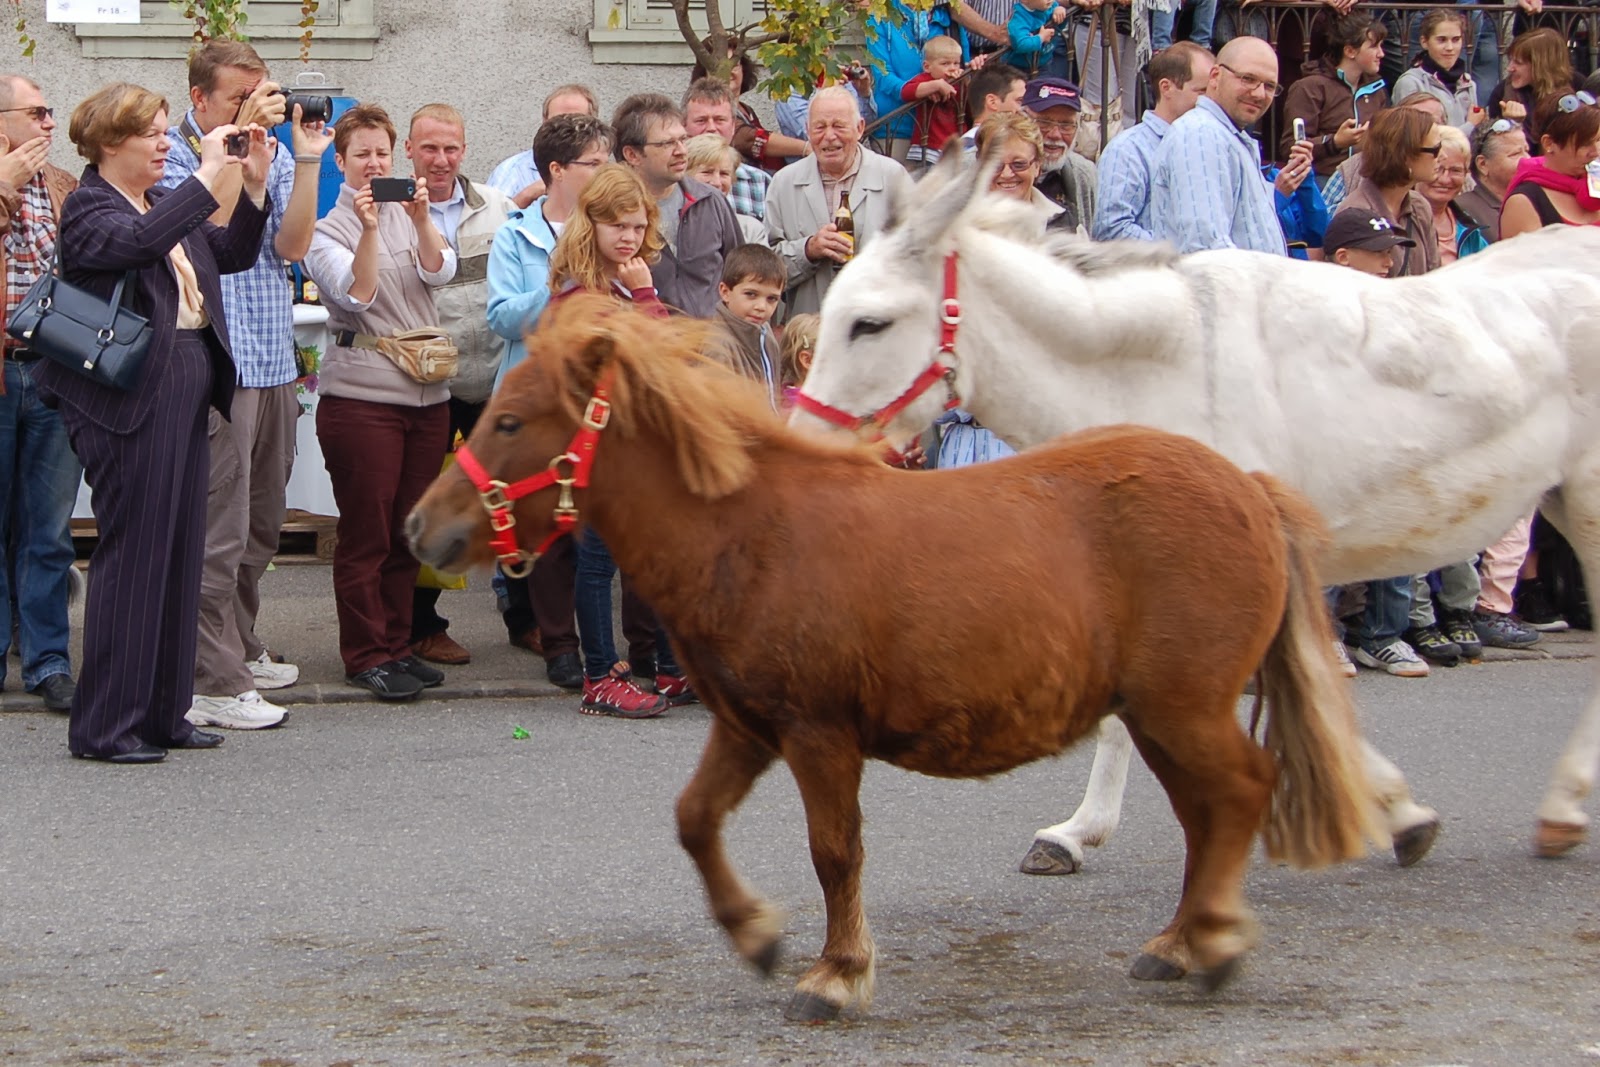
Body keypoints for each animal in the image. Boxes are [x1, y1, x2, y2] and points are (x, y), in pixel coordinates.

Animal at [406, 295, 1382, 1023]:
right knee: (1206, 812)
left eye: (511, 420)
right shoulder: (748, 728)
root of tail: (1247, 486)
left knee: (1242, 793)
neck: (750, 534)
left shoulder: (818, 735)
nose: (421, 527)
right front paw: (756, 934)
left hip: (1183, 708)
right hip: (1161, 715)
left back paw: (1211, 940)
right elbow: (694, 819)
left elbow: (835, 852)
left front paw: (837, 974)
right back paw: (1180, 942)